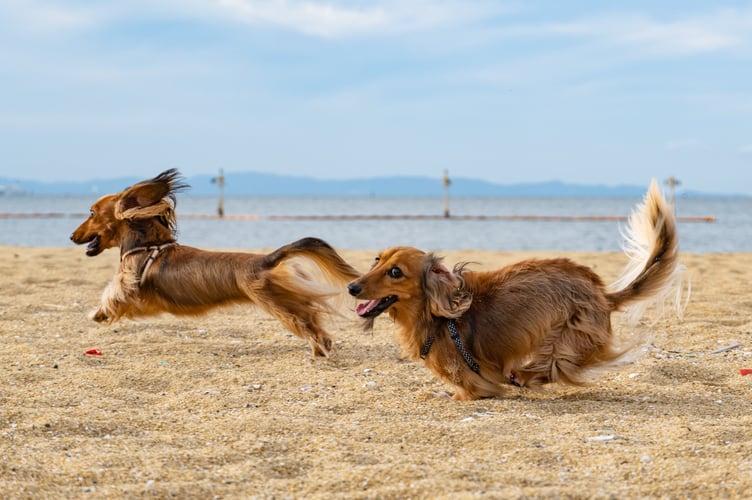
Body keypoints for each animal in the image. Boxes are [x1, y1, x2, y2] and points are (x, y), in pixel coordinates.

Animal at [71, 168, 362, 356]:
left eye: (91, 212)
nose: (71, 236)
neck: (147, 244)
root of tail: (266, 260)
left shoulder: (129, 284)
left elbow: (112, 293)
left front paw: (98, 313)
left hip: (278, 302)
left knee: (308, 321)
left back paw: (321, 347)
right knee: (312, 316)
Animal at [346, 182, 688, 400]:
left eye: (396, 272)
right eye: (377, 259)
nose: (351, 287)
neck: (438, 315)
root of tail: (603, 295)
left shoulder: (475, 382)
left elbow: (471, 391)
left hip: (565, 337)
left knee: (554, 366)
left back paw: (523, 377)